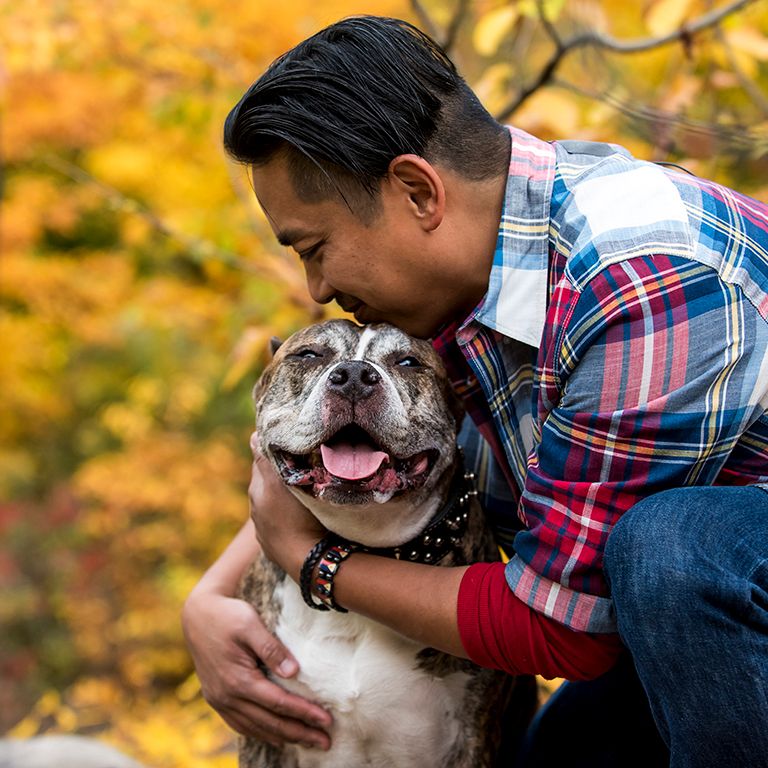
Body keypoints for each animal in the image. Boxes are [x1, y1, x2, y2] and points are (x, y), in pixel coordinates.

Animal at [238, 320, 528, 768]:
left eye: (408, 362)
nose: (355, 376)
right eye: (308, 355)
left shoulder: (471, 741)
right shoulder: (263, 736)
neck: (362, 545)